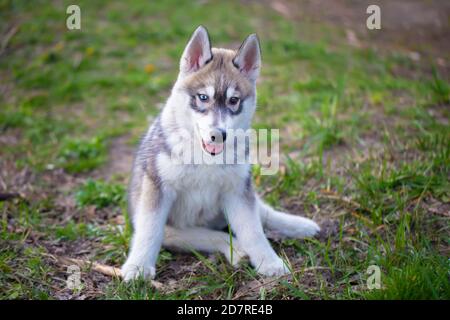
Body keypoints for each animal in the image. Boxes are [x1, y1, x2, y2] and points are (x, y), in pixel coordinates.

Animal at [121, 25, 322, 280]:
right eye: (203, 97)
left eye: (233, 100)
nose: (218, 135)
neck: (205, 157)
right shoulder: (157, 190)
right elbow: (149, 231)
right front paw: (138, 268)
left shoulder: (237, 191)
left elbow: (253, 230)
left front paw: (269, 262)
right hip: (172, 230)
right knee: (203, 234)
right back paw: (236, 250)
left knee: (262, 213)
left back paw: (299, 225)